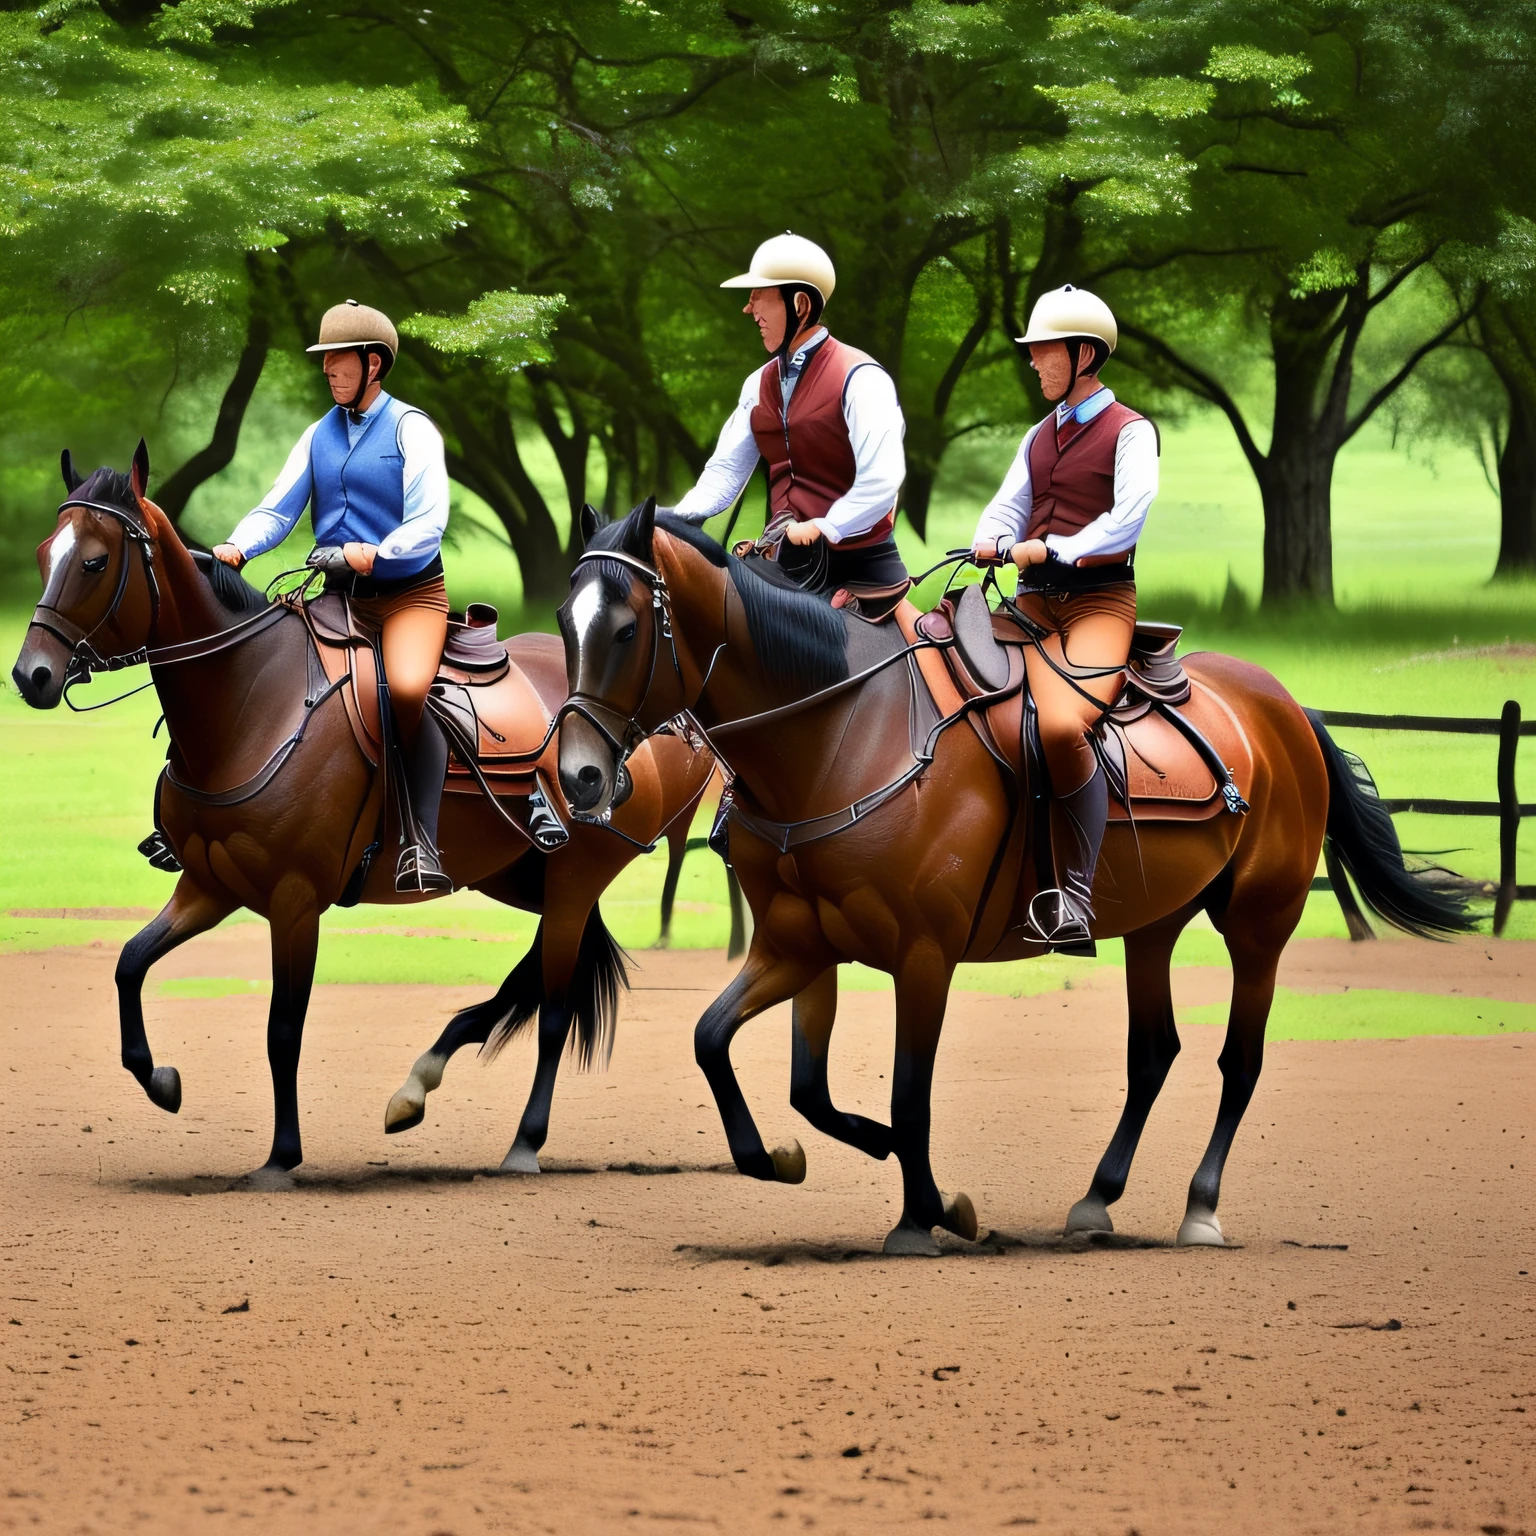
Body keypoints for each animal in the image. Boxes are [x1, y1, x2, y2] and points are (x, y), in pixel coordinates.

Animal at [9, 445, 715, 1185]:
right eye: (44, 553)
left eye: (94, 562)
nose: (31, 674)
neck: (252, 701)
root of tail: (673, 721)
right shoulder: (208, 886)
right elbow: (129, 964)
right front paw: (162, 1081)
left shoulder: (295, 902)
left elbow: (282, 1030)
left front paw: (280, 1158)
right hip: (523, 879)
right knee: (529, 984)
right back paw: (419, 1083)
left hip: (576, 878)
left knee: (553, 1008)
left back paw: (522, 1143)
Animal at [552, 509, 1474, 1253]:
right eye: (564, 622)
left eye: (627, 629)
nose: (581, 776)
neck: (845, 730)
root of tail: (1282, 705)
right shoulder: (796, 945)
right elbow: (734, 1052)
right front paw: (793, 1156)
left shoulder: (923, 957)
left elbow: (911, 1094)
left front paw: (924, 1214)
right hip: (1156, 925)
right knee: (1154, 1053)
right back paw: (1097, 1199)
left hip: (1259, 922)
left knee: (1237, 1062)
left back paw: (1201, 1209)